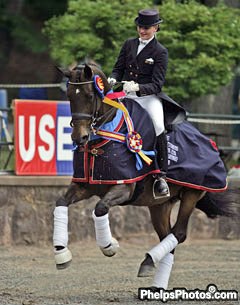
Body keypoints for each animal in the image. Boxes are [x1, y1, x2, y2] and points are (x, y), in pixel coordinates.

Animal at [53, 63, 239, 288]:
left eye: (89, 95)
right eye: (70, 95)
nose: (78, 138)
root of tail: (210, 142)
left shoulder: (124, 186)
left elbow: (100, 208)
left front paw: (109, 245)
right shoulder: (85, 185)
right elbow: (61, 202)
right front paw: (61, 253)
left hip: (191, 195)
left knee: (179, 233)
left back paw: (150, 261)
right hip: (159, 205)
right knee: (168, 236)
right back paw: (153, 275)